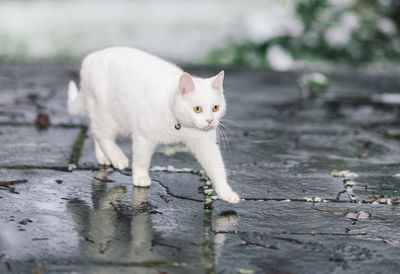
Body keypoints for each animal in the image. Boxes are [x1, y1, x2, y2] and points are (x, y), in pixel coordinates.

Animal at [67, 47, 239, 203]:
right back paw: (118, 158)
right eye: (197, 109)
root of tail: (90, 58)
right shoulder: (144, 137)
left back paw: (103, 157)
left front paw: (226, 193)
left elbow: (217, 168)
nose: (210, 120)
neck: (178, 124)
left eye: (215, 108)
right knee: (103, 135)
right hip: (109, 115)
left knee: (95, 132)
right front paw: (141, 177)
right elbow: (141, 160)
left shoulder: (205, 144)